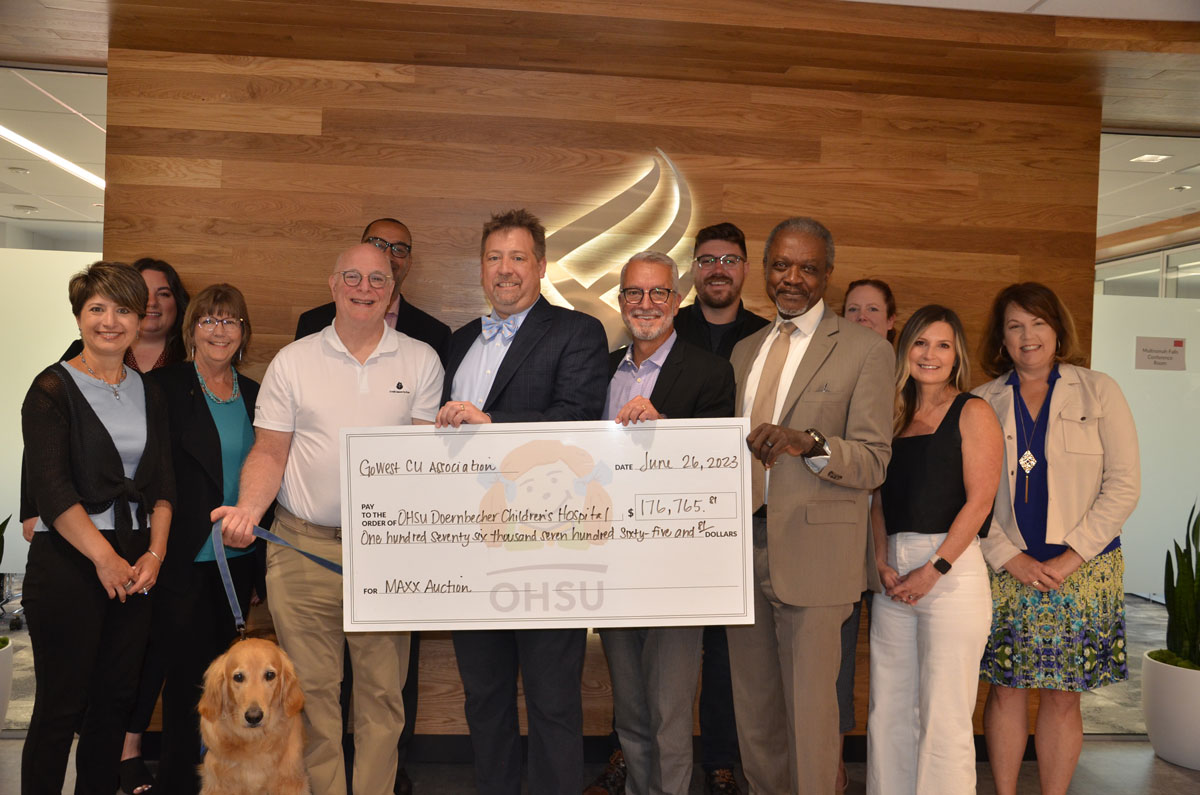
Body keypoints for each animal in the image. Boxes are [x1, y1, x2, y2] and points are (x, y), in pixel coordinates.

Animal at [198, 643, 312, 795]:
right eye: (238, 677)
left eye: (270, 675)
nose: (254, 717)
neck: (253, 739)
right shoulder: (218, 786)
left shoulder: (290, 783)